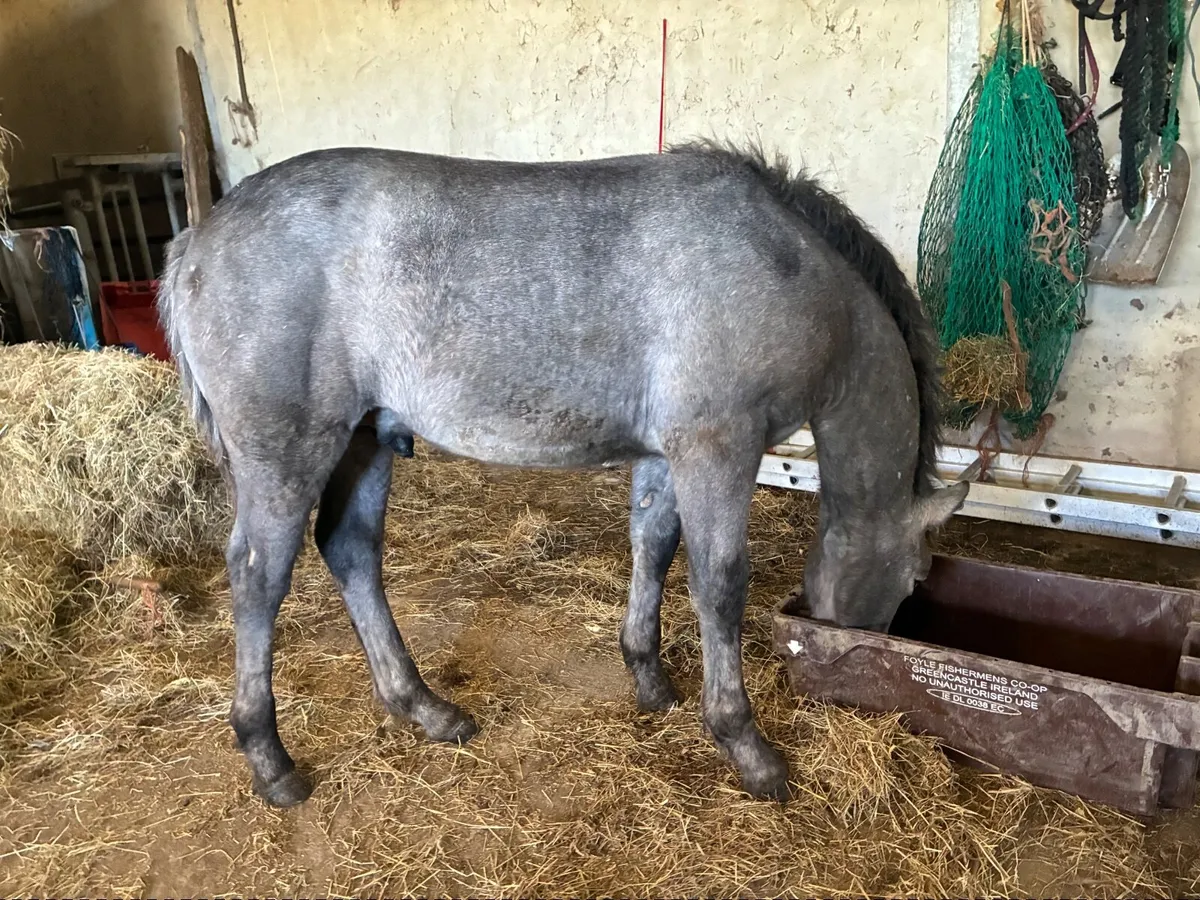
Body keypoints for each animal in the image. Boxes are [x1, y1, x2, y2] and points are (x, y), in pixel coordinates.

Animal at [157, 140, 968, 808]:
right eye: (909, 581)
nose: (860, 667)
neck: (787, 263)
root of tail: (198, 238)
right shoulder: (718, 450)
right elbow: (720, 585)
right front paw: (745, 745)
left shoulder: (667, 454)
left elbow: (654, 548)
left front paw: (649, 677)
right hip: (288, 457)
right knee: (258, 579)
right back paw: (270, 760)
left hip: (366, 441)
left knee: (351, 550)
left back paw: (423, 708)